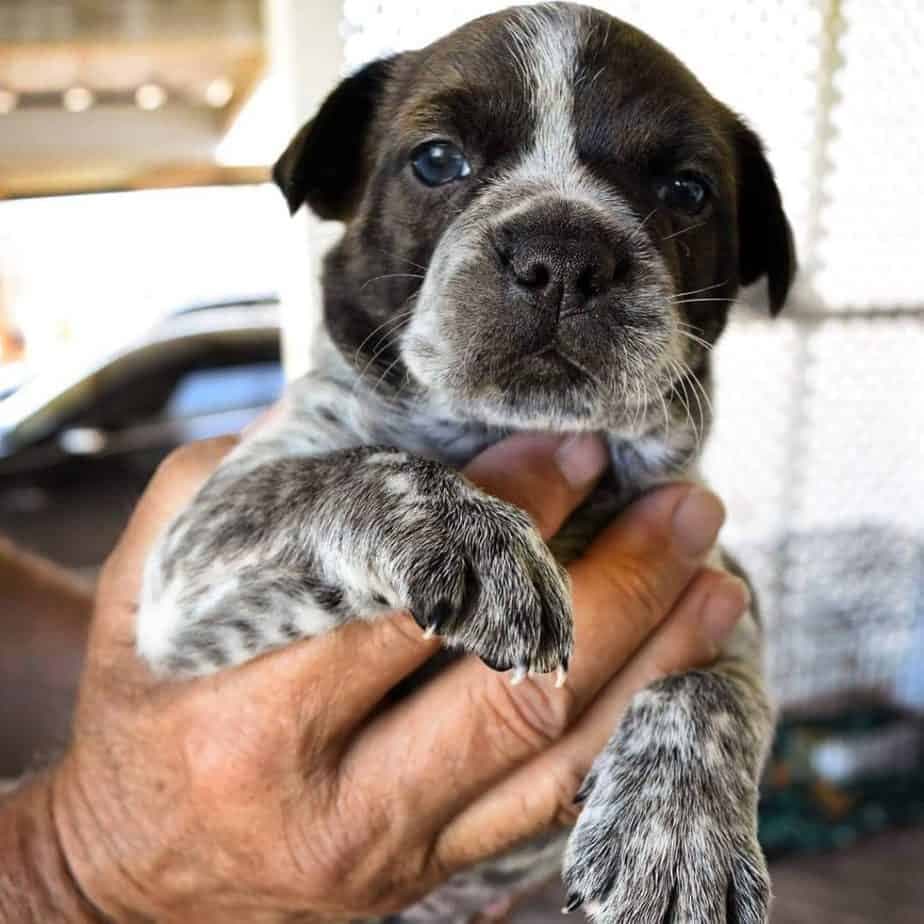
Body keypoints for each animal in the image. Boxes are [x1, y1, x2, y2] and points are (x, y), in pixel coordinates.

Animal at [135, 3, 796, 920]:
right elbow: (351, 469)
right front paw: (475, 537)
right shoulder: (186, 565)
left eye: (687, 191)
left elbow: (709, 689)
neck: (496, 427)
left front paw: (676, 833)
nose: (564, 255)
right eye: (437, 161)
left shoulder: (724, 594)